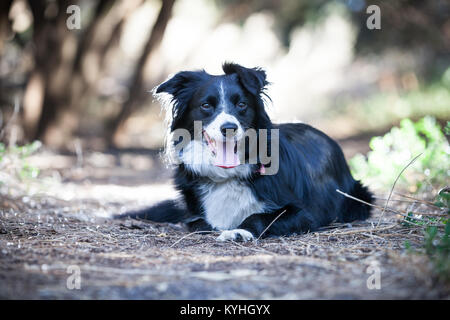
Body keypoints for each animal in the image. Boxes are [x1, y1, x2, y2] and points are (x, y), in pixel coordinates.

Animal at [116, 62, 372, 241]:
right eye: (205, 105)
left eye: (242, 105)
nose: (229, 127)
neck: (227, 175)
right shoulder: (194, 214)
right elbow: (198, 223)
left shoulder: (305, 212)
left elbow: (258, 216)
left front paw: (239, 231)